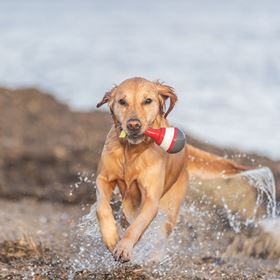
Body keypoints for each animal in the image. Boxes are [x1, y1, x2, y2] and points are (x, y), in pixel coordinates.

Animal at [95, 77, 247, 262]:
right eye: (122, 102)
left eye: (148, 101)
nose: (133, 124)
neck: (131, 152)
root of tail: (187, 148)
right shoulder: (103, 179)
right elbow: (102, 207)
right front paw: (111, 238)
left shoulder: (151, 199)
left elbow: (137, 225)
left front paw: (124, 246)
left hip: (171, 208)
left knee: (161, 234)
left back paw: (154, 257)